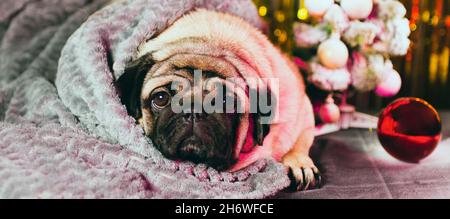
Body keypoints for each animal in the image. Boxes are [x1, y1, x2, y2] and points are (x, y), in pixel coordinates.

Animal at [117, 9, 320, 190]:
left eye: (226, 102)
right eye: (161, 98)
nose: (193, 111)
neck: (206, 43)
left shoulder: (301, 109)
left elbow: (300, 139)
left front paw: (298, 161)